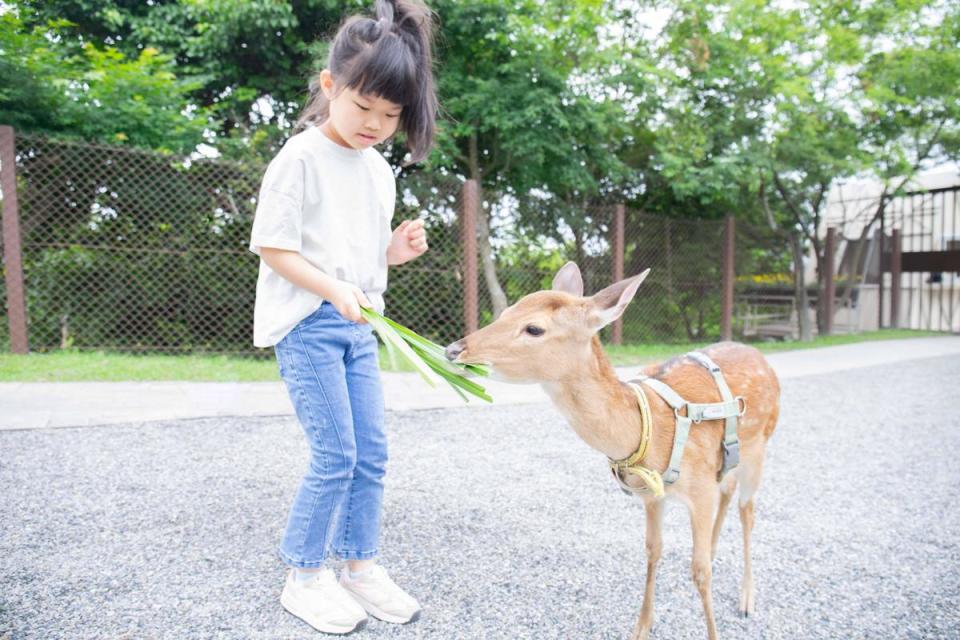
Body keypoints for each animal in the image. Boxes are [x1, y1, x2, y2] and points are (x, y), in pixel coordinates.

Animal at [442, 262, 780, 640]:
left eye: (534, 328)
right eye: (505, 312)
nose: (453, 349)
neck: (649, 427)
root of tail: (761, 356)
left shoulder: (700, 488)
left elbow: (700, 571)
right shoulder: (653, 495)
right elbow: (653, 550)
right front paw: (642, 627)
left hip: (761, 444)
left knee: (747, 510)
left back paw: (747, 598)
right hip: (729, 460)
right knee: (729, 490)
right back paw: (718, 549)